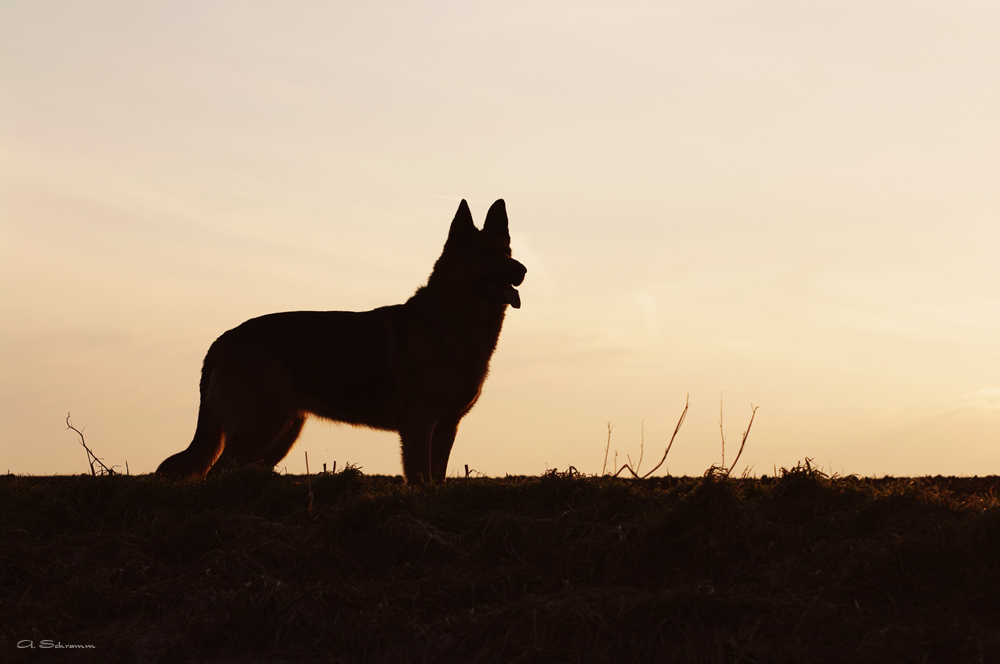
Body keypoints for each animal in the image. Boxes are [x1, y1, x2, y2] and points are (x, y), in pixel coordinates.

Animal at [156, 200, 524, 486]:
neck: (449, 320)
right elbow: (420, 480)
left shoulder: (446, 427)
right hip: (261, 426)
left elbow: (438, 478)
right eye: (483, 255)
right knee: (216, 472)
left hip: (281, 432)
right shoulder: (419, 426)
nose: (521, 270)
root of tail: (223, 339)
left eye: (506, 252)